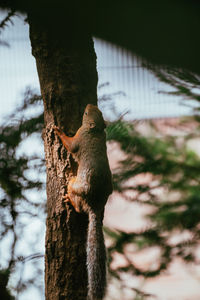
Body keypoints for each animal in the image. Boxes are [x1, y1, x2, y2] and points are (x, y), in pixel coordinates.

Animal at [53, 103, 113, 300]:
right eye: (98, 111)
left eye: (86, 113)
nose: (88, 104)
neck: (96, 131)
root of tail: (95, 204)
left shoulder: (79, 138)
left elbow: (70, 144)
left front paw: (57, 130)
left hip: (74, 185)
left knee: (79, 206)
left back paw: (70, 201)